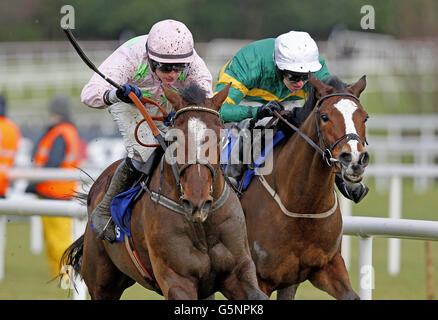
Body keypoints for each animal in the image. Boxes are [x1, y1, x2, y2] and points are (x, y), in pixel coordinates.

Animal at [61, 82, 266, 300]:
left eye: (219, 137)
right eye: (175, 138)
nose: (197, 203)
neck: (203, 228)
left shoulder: (239, 272)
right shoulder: (177, 280)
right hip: (102, 284)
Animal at [240, 75, 370, 300]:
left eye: (365, 118)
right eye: (325, 117)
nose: (354, 159)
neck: (303, 204)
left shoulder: (324, 266)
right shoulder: (257, 278)